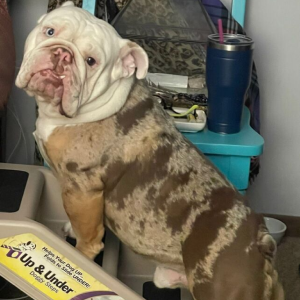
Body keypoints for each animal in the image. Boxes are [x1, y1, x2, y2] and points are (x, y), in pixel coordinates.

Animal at [15, 2, 284, 300]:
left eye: (91, 61)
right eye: (50, 31)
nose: (62, 54)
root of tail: (261, 242)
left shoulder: (83, 190)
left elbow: (87, 240)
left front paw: (79, 258)